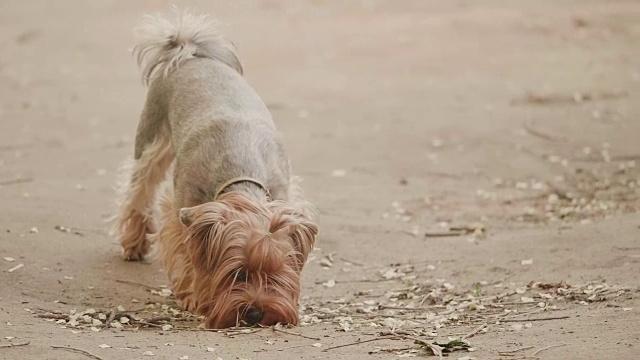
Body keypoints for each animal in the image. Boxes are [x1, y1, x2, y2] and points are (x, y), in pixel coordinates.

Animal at [112, 9, 320, 330]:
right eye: (237, 273)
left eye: (275, 274)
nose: (255, 313)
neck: (242, 177)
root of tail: (189, 53)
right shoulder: (182, 209)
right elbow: (185, 251)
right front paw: (192, 295)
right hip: (152, 138)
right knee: (140, 187)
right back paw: (133, 244)